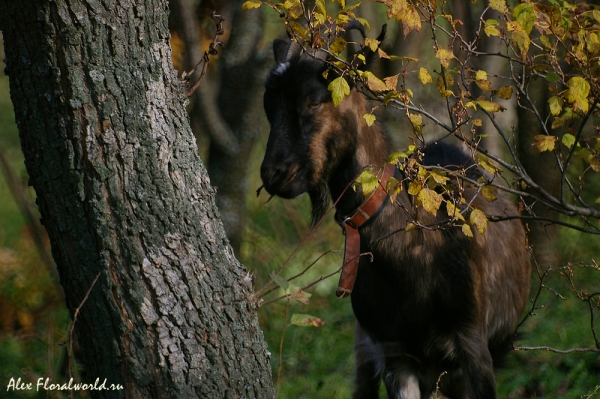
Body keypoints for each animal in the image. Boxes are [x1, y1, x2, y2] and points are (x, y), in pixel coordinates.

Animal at [260, 35, 532, 399]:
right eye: (268, 106)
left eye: (314, 102)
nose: (275, 174)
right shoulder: (393, 352)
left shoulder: (471, 340)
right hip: (366, 347)